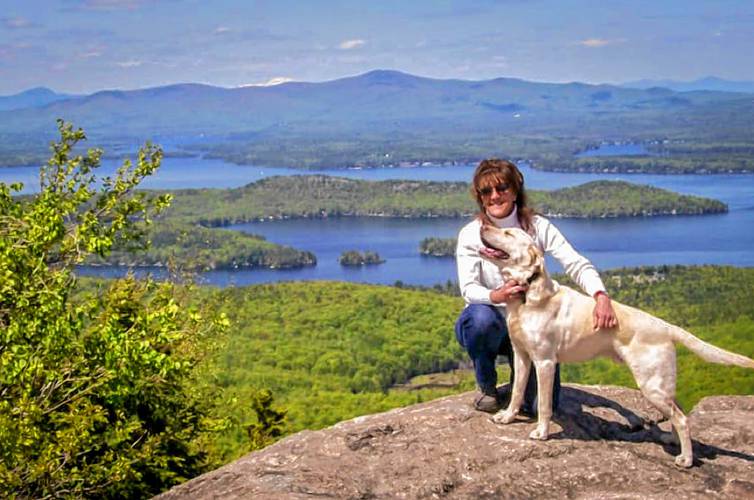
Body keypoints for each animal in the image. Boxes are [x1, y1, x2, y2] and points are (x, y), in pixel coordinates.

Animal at [478, 225, 748, 466]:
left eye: (508, 233)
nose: (483, 224)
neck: (528, 293)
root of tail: (666, 326)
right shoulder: (522, 356)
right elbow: (516, 392)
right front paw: (507, 417)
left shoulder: (544, 362)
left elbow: (543, 404)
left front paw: (542, 432)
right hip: (660, 384)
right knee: (678, 410)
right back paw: (672, 441)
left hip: (651, 384)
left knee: (681, 418)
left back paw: (687, 459)